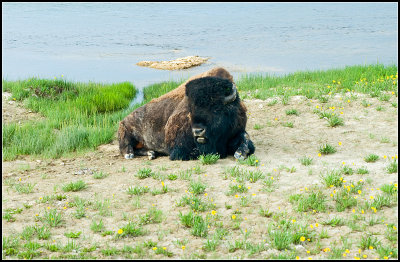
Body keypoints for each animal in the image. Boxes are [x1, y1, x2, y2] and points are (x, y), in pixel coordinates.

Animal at [119, 66, 255, 161]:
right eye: (190, 110)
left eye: (216, 109)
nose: (198, 131)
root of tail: (124, 119)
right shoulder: (180, 148)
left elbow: (246, 138)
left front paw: (240, 154)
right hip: (126, 131)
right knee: (125, 147)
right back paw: (130, 155)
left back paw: (151, 153)